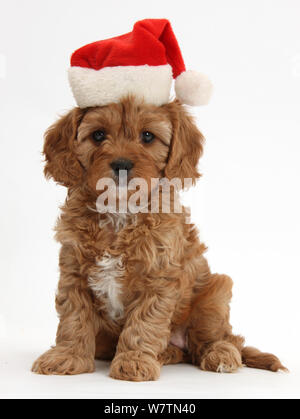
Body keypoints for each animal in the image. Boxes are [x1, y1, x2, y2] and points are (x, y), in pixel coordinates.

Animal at [31, 97, 286, 382]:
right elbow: (73, 318)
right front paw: (67, 357)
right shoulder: (74, 274)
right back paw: (167, 354)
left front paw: (134, 361)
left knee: (217, 340)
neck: (120, 211)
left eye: (147, 136)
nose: (121, 164)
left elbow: (143, 323)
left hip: (215, 294)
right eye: (98, 135)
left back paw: (220, 355)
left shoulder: (158, 278)